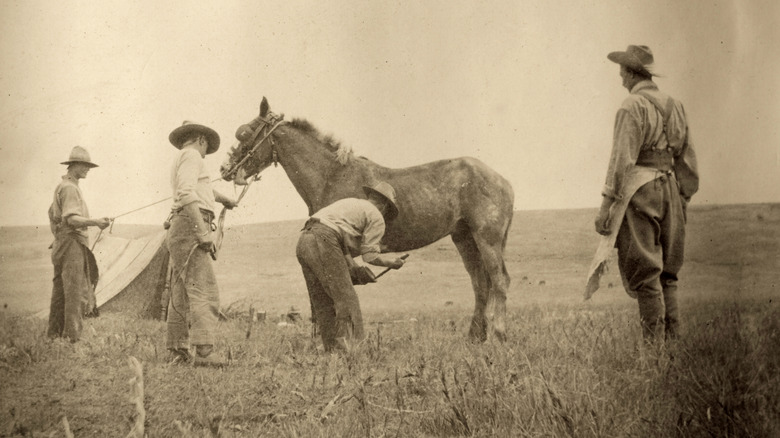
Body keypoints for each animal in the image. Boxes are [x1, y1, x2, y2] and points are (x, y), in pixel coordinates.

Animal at [221, 97, 514, 342]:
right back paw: (475, 337)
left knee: (499, 281)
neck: (330, 176)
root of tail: (503, 181)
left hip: (486, 239)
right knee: (480, 283)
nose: (226, 170)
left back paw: (497, 336)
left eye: (245, 133)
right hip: (464, 238)